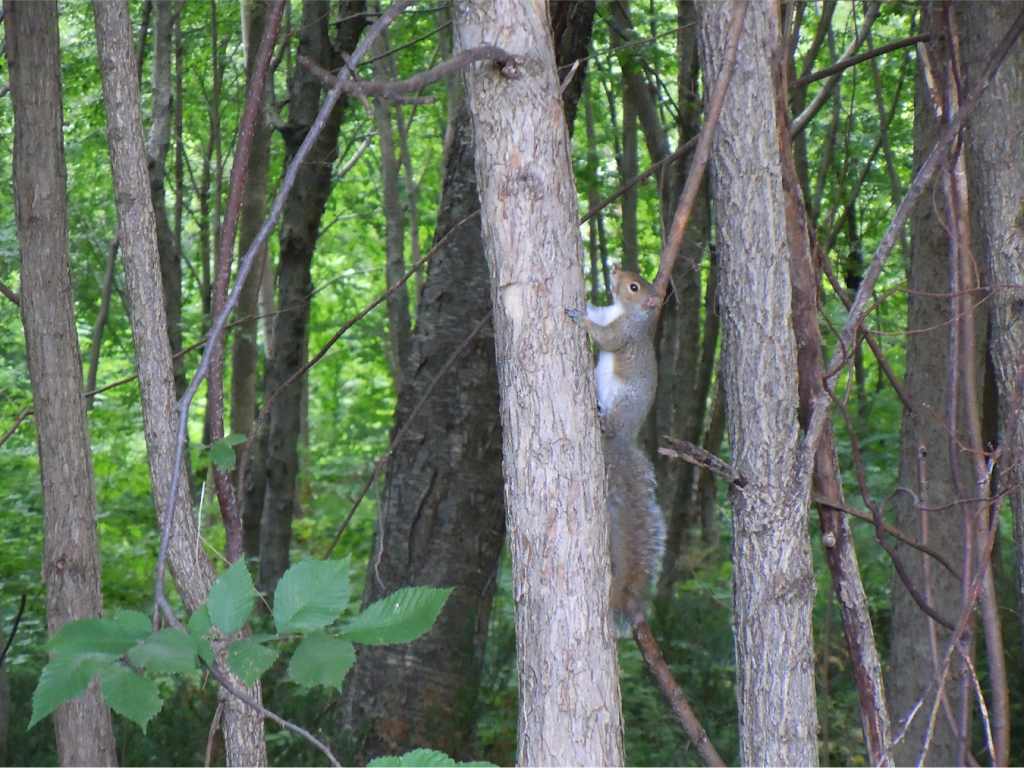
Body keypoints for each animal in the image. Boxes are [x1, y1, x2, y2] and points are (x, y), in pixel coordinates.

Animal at [569, 268, 663, 626]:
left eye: (635, 287)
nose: (614, 270)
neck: (622, 310)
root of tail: (623, 441)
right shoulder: (606, 313)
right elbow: (595, 312)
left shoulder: (623, 333)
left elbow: (606, 338)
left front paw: (580, 320)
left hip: (624, 401)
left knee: (614, 420)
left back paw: (604, 422)